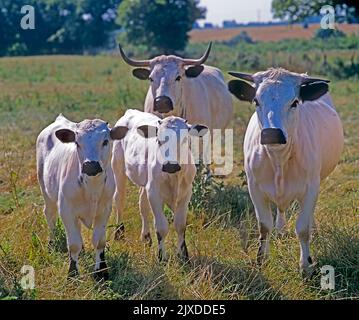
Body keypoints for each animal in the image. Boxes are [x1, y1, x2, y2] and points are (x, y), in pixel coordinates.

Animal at [36, 114, 128, 278]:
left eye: (105, 141)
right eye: (77, 143)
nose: (90, 165)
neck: (91, 188)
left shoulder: (104, 210)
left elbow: (99, 241)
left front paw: (101, 271)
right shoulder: (66, 210)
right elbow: (73, 244)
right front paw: (72, 272)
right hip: (46, 190)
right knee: (50, 215)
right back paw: (51, 244)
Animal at [112, 110, 208, 260]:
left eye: (185, 139)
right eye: (159, 140)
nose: (170, 165)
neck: (174, 177)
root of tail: (131, 112)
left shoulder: (186, 194)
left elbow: (180, 224)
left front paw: (183, 254)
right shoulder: (155, 194)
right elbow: (162, 227)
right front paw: (161, 256)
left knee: (143, 205)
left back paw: (146, 237)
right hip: (118, 168)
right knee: (119, 199)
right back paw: (119, 233)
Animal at [229, 69, 344, 276]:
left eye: (295, 102)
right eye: (256, 101)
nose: (271, 134)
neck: (279, 160)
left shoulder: (311, 188)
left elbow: (303, 228)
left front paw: (306, 265)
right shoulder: (254, 188)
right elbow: (264, 225)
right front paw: (261, 259)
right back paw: (280, 229)